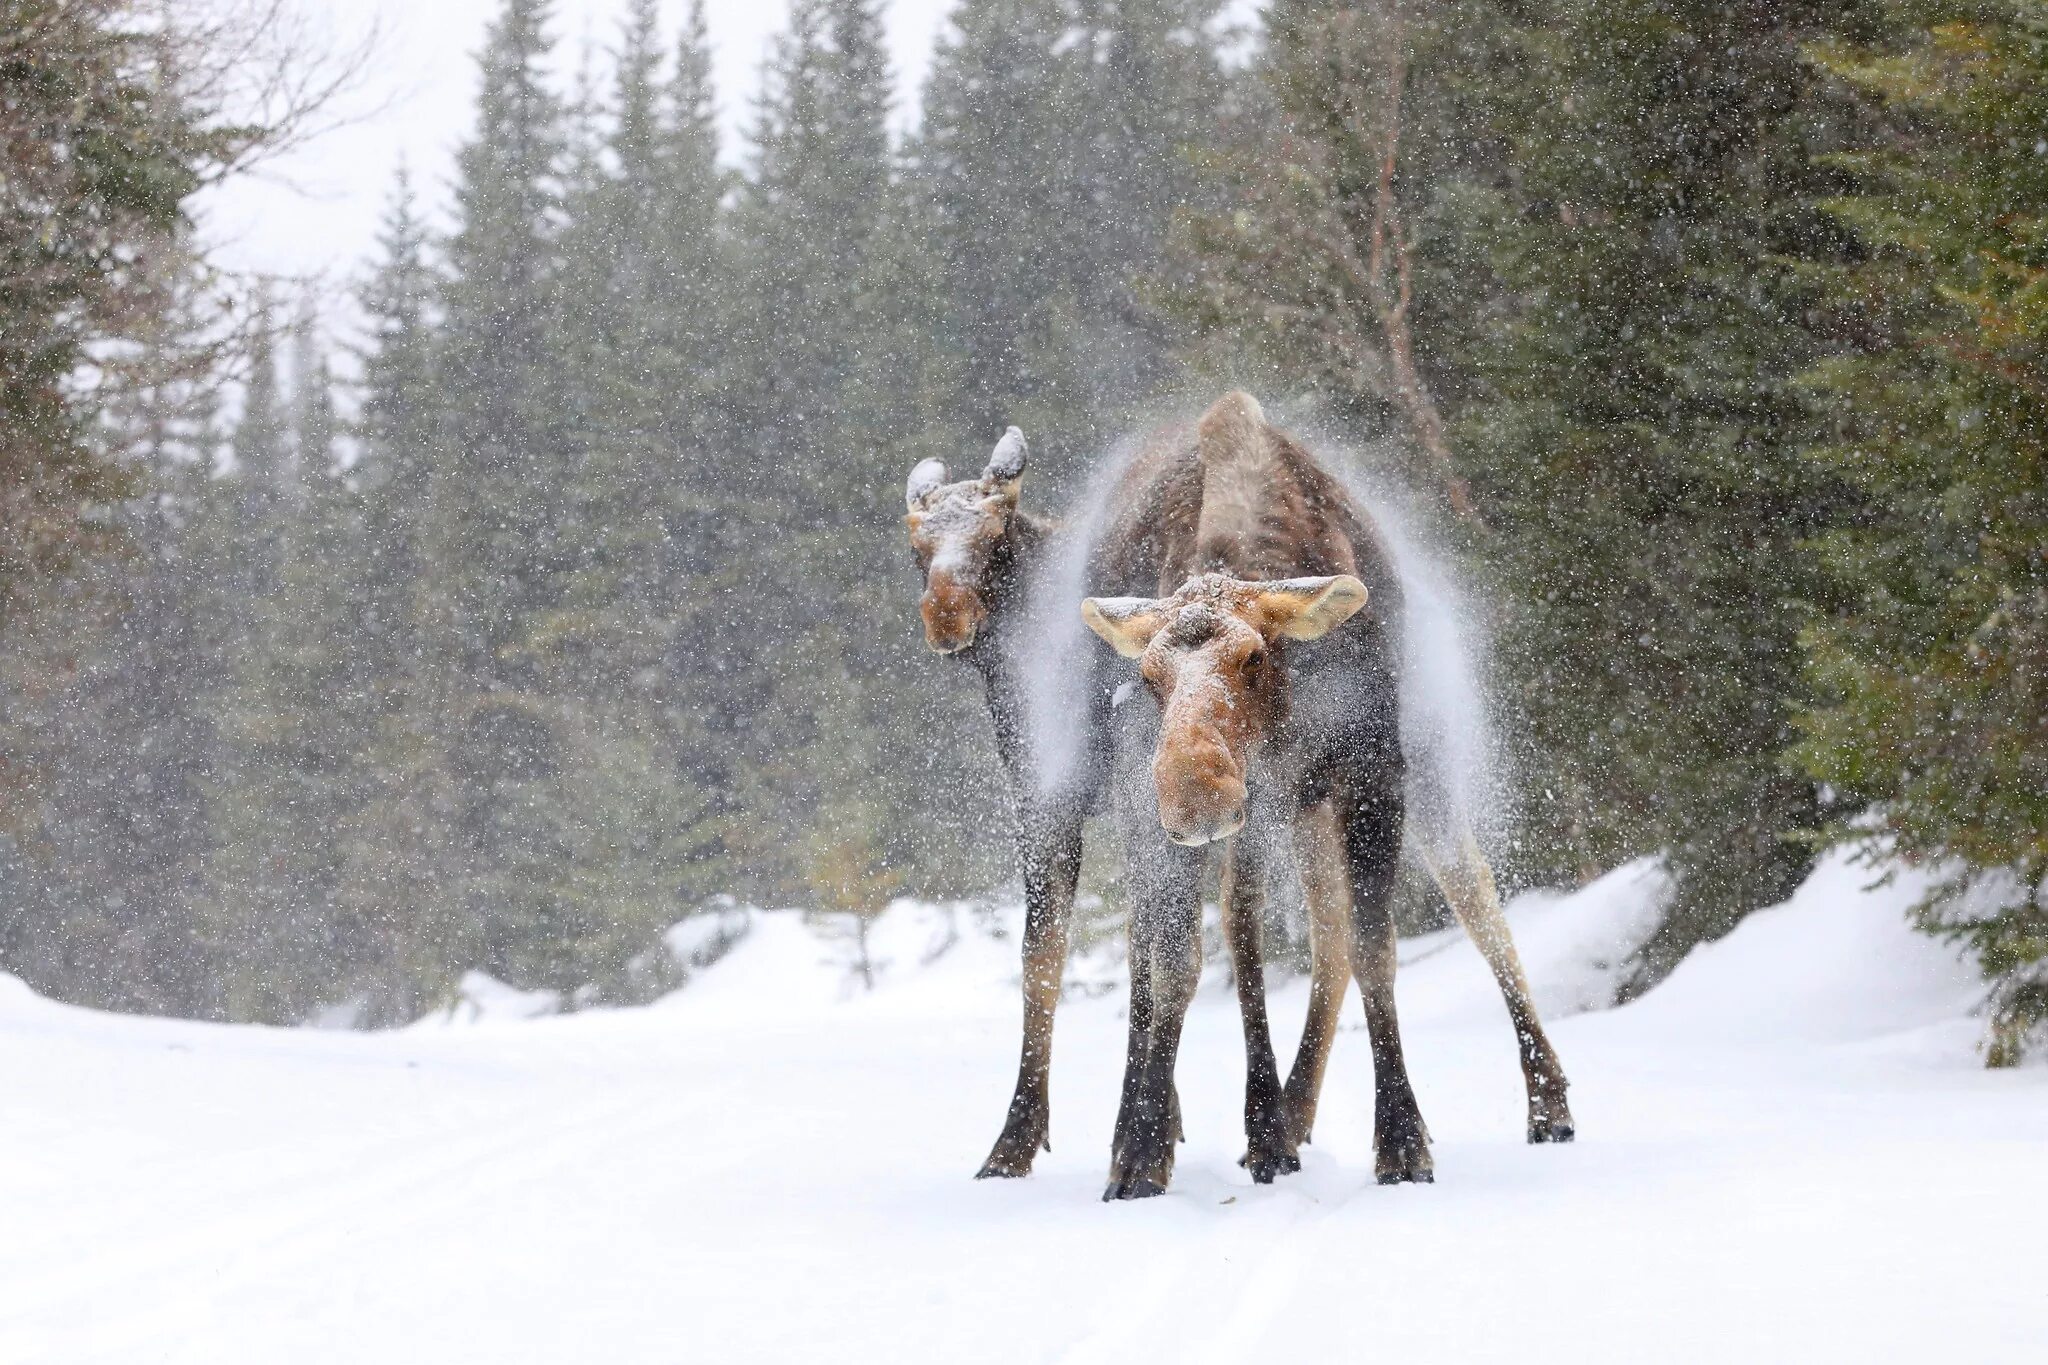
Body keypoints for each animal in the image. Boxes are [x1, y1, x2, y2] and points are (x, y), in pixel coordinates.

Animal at [905, 394, 1572, 1195]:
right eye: (915, 547)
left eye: (1253, 655)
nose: (1196, 794)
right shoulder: (1073, 799)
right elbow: (1133, 959)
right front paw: (1133, 1143)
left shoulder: (1372, 772)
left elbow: (1372, 948)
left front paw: (1399, 1139)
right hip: (1289, 810)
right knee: (1312, 932)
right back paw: (1286, 1111)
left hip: (1414, 774)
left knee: (1472, 900)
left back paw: (1545, 1102)